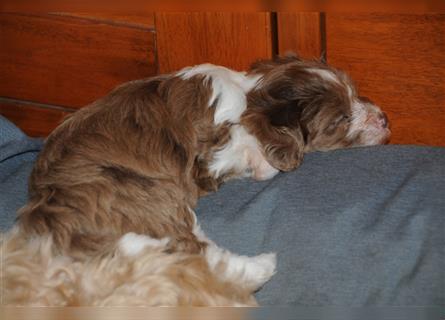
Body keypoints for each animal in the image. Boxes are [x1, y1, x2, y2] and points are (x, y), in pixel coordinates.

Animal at [5, 54, 390, 304]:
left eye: (355, 93)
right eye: (341, 120)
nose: (384, 118)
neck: (250, 92)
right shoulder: (213, 152)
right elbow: (251, 149)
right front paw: (267, 160)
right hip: (148, 200)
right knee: (194, 253)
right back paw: (263, 266)